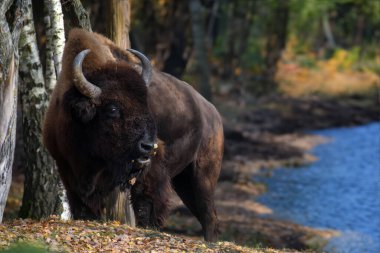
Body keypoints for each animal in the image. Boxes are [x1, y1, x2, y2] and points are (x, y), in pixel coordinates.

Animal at [43, 29, 224, 241]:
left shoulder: (148, 169)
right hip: (184, 181)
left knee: (208, 214)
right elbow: (82, 205)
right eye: (112, 109)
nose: (147, 146)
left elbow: (146, 201)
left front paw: (150, 227)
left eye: (146, 103)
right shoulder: (67, 168)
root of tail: (213, 112)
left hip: (203, 176)